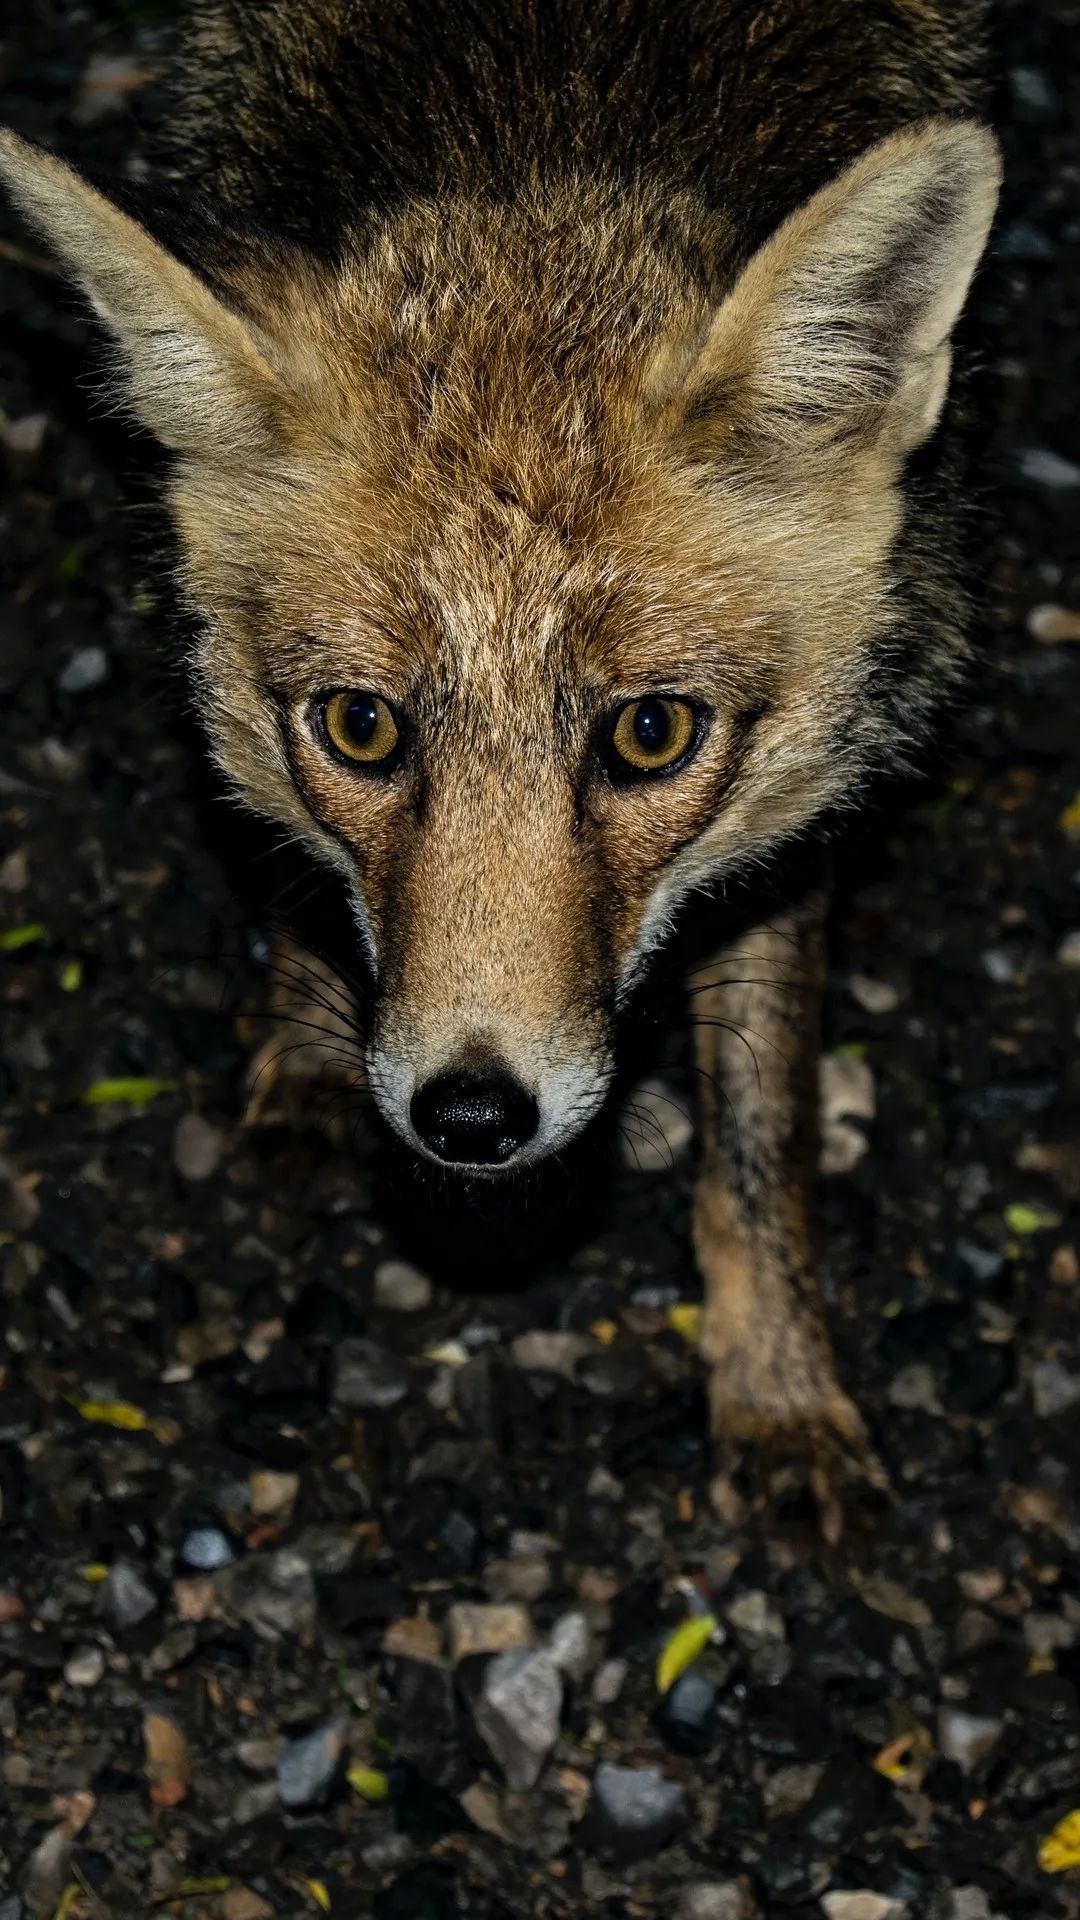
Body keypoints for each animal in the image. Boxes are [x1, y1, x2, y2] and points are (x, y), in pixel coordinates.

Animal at [0, 0, 1001, 1537]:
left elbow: (758, 1148)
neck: (554, 114)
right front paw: (305, 1050)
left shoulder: (808, 799)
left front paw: (779, 1390)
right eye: (362, 727)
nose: (469, 1118)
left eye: (651, 734)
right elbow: (296, 868)